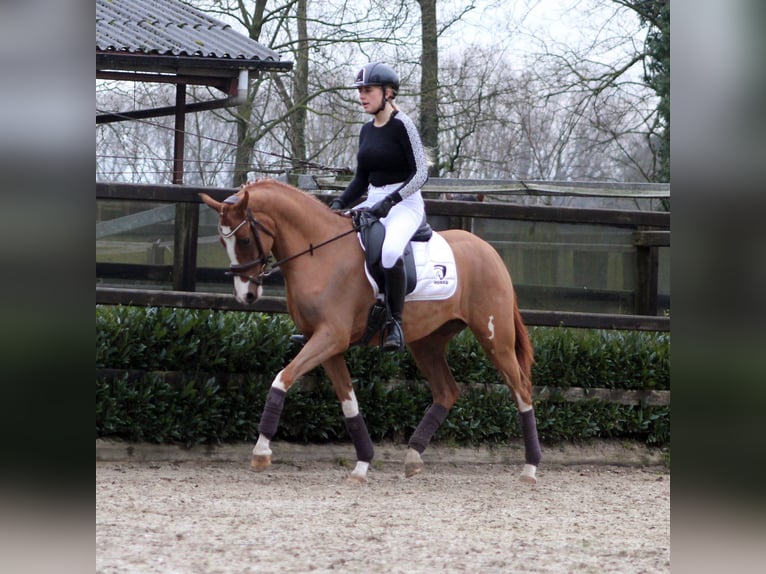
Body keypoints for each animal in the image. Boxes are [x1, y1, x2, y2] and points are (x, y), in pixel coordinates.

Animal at [201, 180, 544, 486]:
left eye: (245, 240)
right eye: (222, 241)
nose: (246, 295)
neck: (320, 254)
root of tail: (488, 250)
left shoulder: (330, 338)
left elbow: (282, 378)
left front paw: (261, 452)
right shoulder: (328, 346)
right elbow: (349, 403)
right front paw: (362, 464)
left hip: (494, 337)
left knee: (522, 390)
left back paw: (529, 468)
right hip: (427, 343)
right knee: (447, 391)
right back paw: (413, 458)